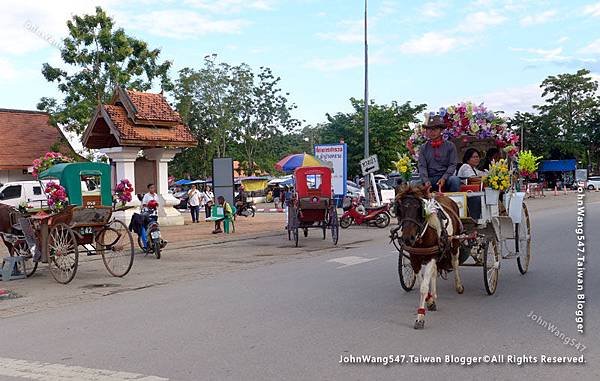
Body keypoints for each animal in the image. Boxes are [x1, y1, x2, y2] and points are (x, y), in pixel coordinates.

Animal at [394, 183, 464, 326]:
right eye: (400, 209)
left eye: (418, 208)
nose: (408, 238)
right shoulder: (415, 258)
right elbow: (421, 283)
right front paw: (430, 301)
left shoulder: (431, 256)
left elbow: (423, 287)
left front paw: (420, 317)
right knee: (434, 271)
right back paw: (434, 295)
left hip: (455, 242)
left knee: (454, 263)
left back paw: (459, 286)